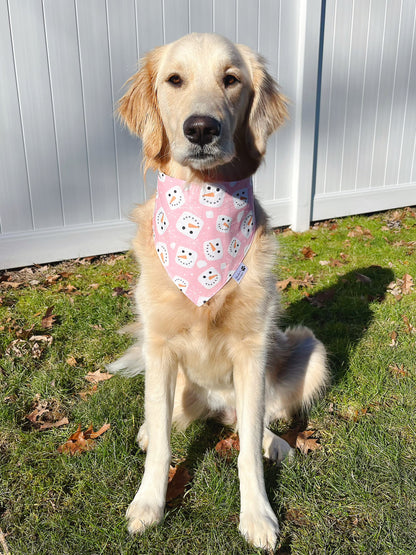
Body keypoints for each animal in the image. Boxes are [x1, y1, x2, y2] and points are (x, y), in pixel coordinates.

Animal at [111, 33, 328, 552]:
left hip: (307, 348)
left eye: (231, 79)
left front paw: (259, 515)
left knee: (256, 422)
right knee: (168, 421)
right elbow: (162, 446)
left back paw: (276, 443)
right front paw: (148, 504)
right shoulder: (160, 346)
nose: (201, 129)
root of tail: (214, 407)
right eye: (174, 80)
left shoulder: (252, 349)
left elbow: (246, 448)